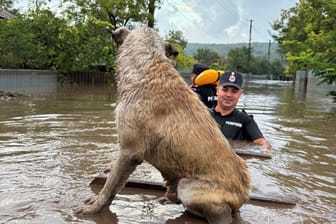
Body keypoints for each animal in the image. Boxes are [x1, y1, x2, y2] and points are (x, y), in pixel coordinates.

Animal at [75, 26, 249, 224]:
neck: (147, 66)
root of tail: (242, 196)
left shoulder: (130, 152)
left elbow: (110, 186)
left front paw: (94, 209)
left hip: (189, 187)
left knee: (221, 212)